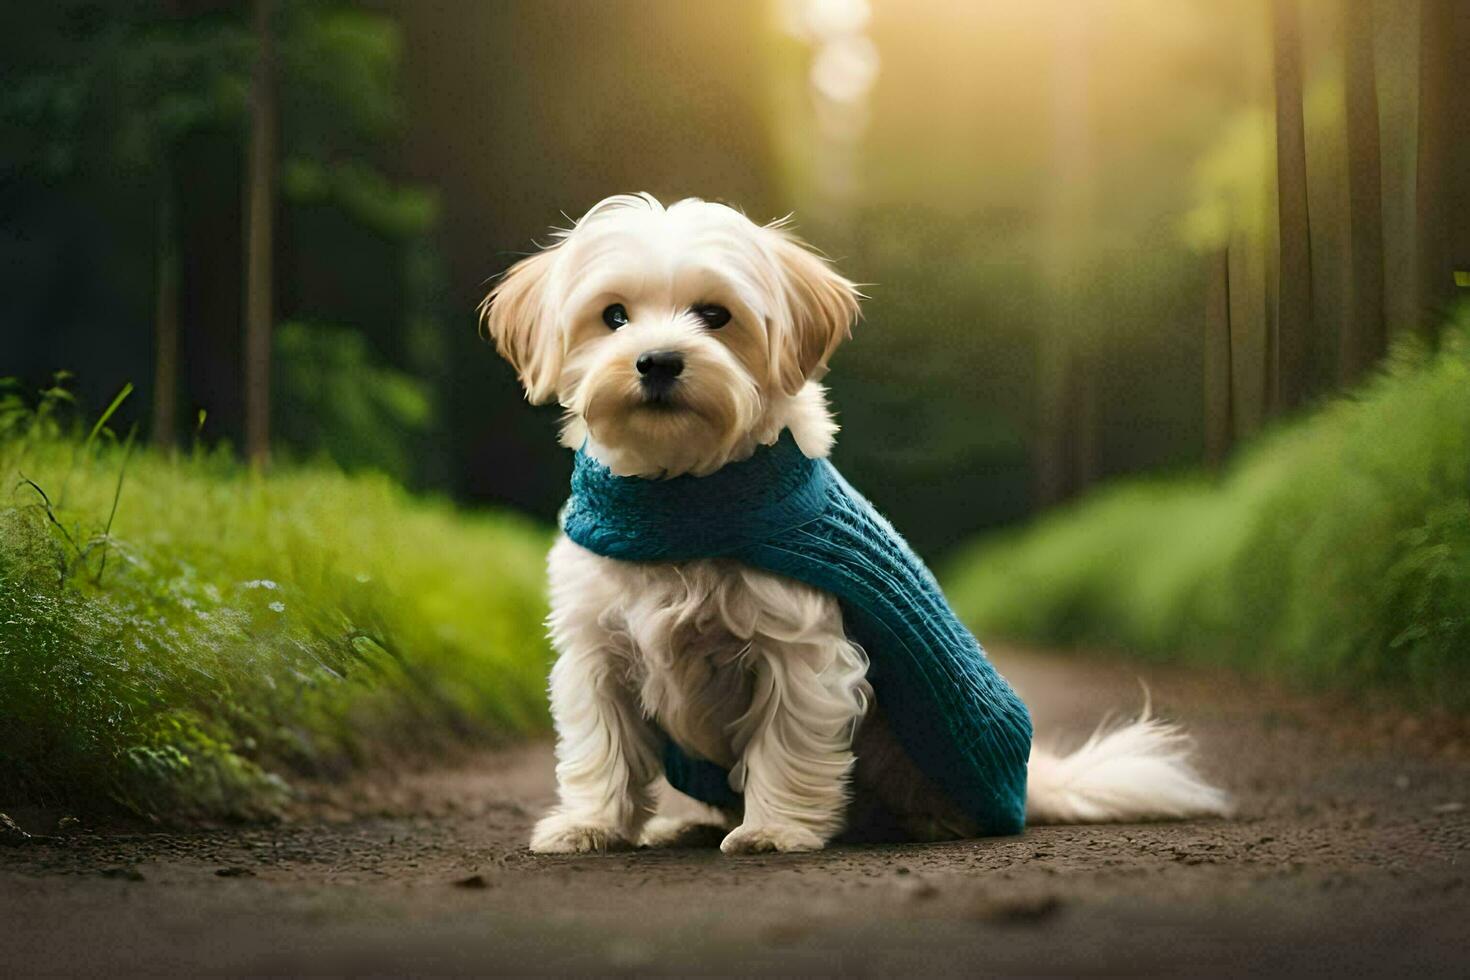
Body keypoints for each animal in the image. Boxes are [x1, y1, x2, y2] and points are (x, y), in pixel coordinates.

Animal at [485, 189, 1228, 852]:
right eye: (613, 317)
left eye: (715, 314)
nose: (659, 360)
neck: (684, 496)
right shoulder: (596, 656)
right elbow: (601, 749)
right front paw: (591, 825)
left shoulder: (799, 653)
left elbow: (785, 745)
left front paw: (775, 830)